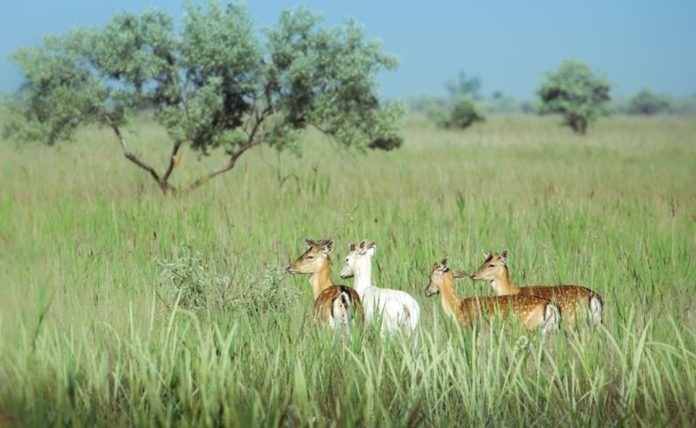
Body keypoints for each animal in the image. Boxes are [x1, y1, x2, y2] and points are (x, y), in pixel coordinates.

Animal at [418, 256, 560, 336]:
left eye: (430, 276)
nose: (426, 291)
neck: (457, 306)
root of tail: (549, 306)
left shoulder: (472, 328)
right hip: (546, 330)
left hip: (526, 327)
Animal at [474, 251, 604, 328]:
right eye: (483, 262)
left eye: (491, 265)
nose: (473, 275)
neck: (513, 290)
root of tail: (594, 297)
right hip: (595, 322)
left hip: (574, 320)